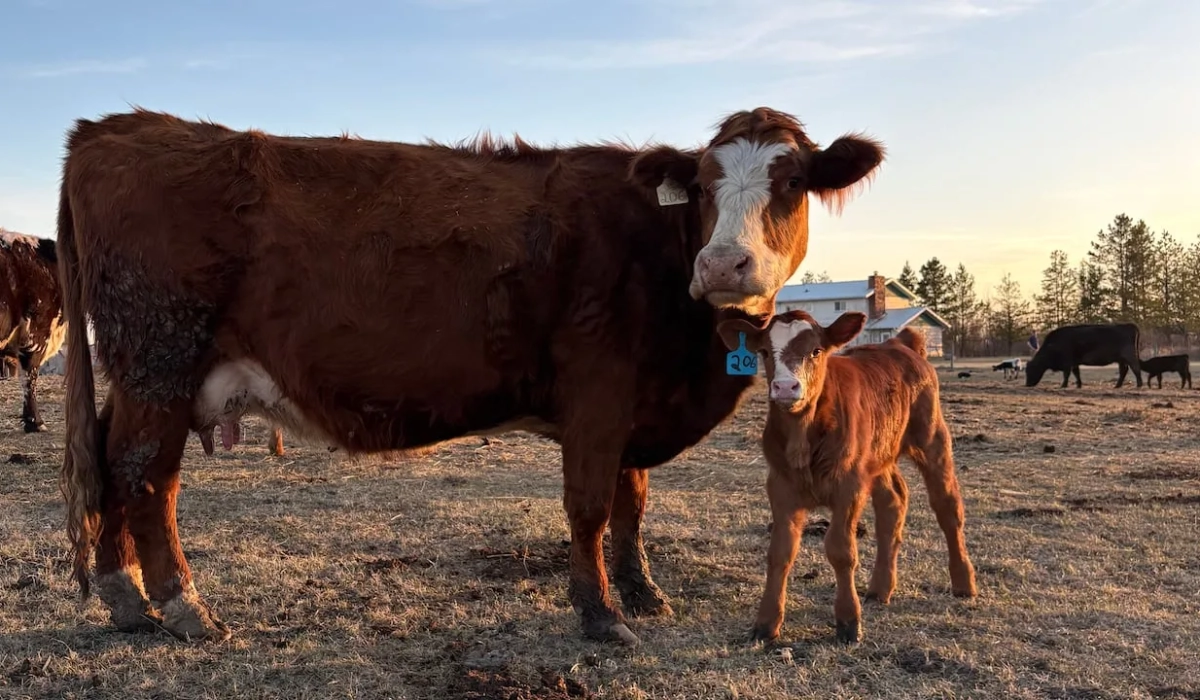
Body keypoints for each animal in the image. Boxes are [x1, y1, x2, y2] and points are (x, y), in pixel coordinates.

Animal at [56, 107, 886, 644]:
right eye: (708, 185)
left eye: (792, 183)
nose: (722, 264)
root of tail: (118, 126)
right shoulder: (598, 396)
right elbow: (590, 506)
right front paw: (601, 613)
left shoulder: (631, 406)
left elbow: (632, 502)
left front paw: (644, 592)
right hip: (162, 362)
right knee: (144, 476)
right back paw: (183, 607)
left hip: (143, 377)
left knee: (110, 463)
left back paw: (125, 599)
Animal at [717, 311, 976, 645]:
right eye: (763, 352)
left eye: (816, 351)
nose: (785, 387)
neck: (803, 437)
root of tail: (898, 343)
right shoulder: (780, 486)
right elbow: (780, 552)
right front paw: (766, 623)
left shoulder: (849, 487)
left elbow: (840, 549)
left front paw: (848, 622)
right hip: (877, 456)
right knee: (892, 503)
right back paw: (880, 588)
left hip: (932, 438)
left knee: (947, 507)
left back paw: (964, 582)